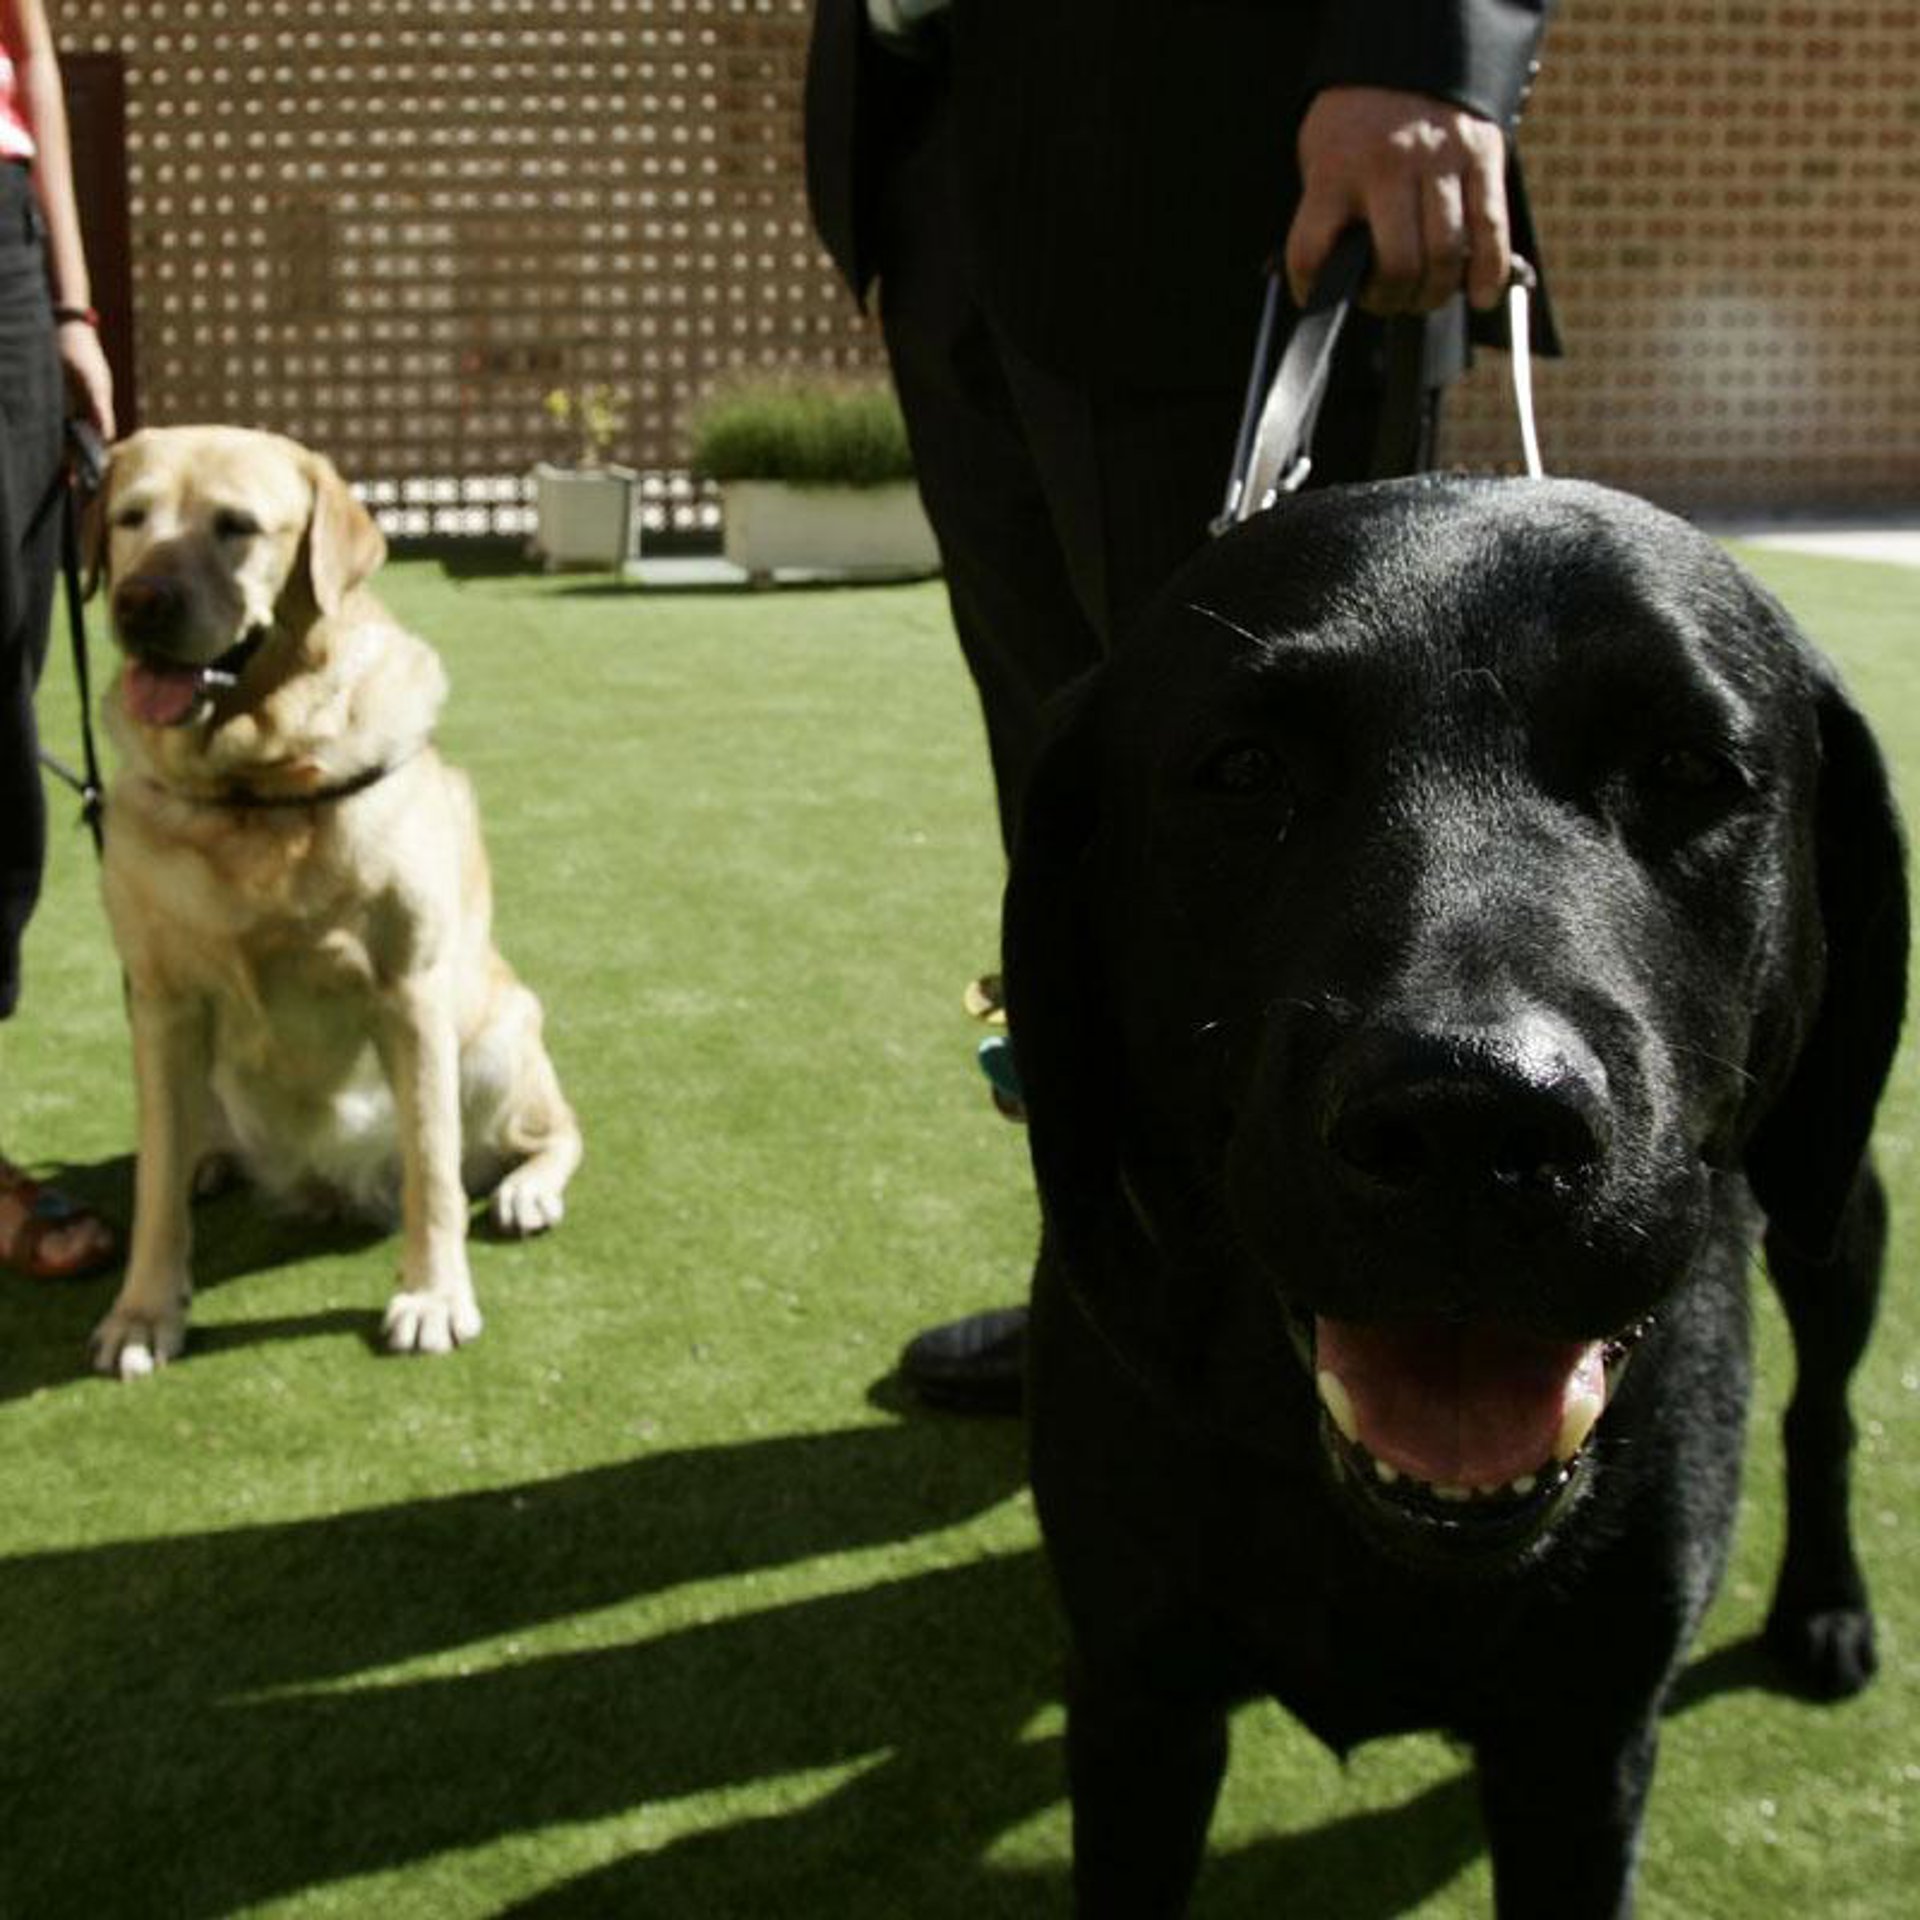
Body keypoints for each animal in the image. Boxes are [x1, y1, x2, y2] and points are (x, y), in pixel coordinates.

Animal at [87, 426, 583, 1378]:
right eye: (130, 518)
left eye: (236, 526)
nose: (136, 602)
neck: (255, 786)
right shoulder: (159, 1004)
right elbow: (155, 1185)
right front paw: (142, 1312)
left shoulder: (411, 993)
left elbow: (433, 1171)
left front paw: (433, 1297)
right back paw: (210, 1157)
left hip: (498, 1036)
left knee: (551, 1132)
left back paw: (527, 1191)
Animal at [1004, 476, 1907, 1915]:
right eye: (1244, 772)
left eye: (1689, 771)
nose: (1472, 1125)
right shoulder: (1140, 1704)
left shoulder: (1583, 1747)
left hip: (1837, 1210)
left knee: (1822, 1411)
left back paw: (1824, 1605)